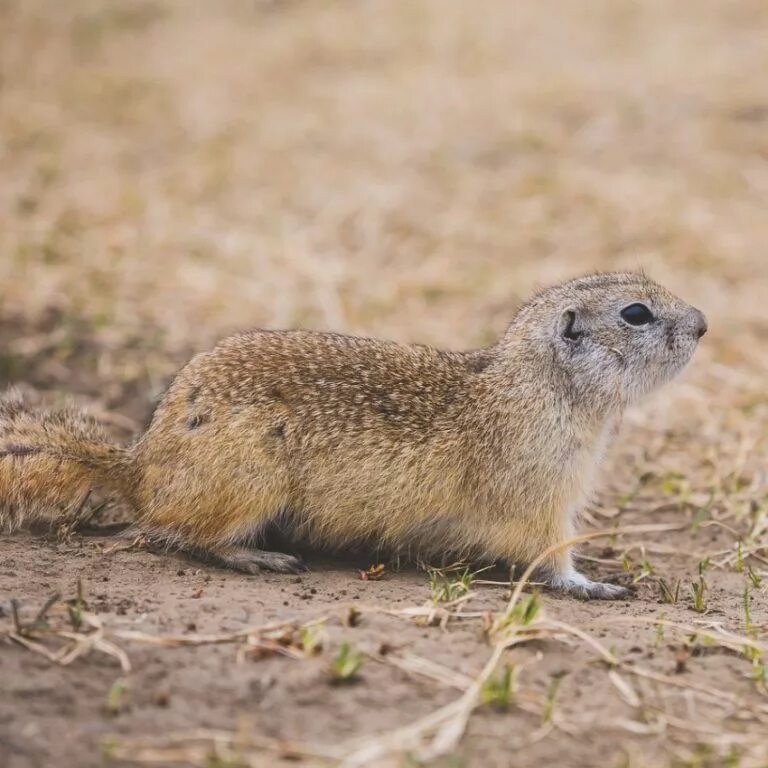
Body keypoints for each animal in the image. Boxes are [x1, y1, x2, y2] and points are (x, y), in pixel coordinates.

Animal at [0, 272, 708, 600]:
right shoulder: (536, 498)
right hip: (246, 484)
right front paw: (596, 585)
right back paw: (259, 557)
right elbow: (551, 557)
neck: (541, 387)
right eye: (636, 313)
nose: (704, 323)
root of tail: (139, 465)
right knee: (180, 535)